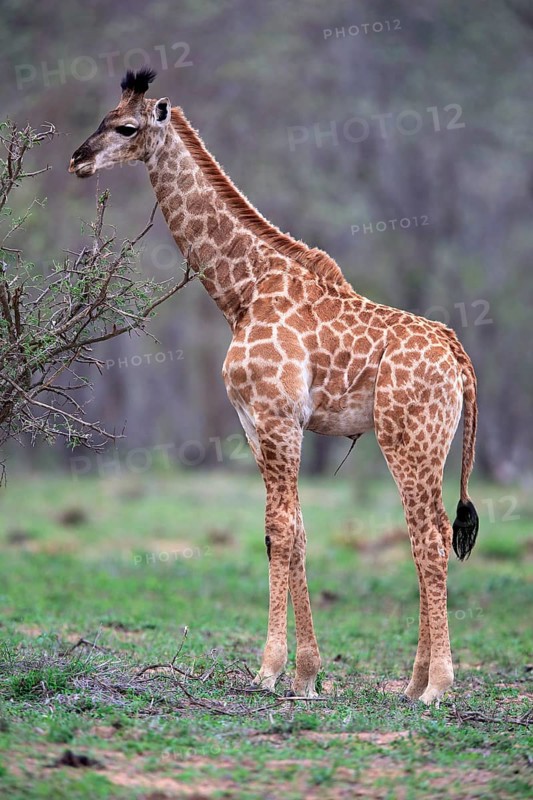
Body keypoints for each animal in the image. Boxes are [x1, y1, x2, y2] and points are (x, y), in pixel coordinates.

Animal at [69, 68, 479, 705]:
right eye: (105, 117)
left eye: (126, 127)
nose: (78, 160)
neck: (242, 291)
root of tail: (459, 361)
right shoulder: (254, 421)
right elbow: (294, 531)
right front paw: (307, 675)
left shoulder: (277, 415)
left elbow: (280, 532)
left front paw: (268, 671)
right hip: (425, 441)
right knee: (429, 531)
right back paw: (411, 686)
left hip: (409, 437)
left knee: (429, 539)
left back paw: (438, 686)